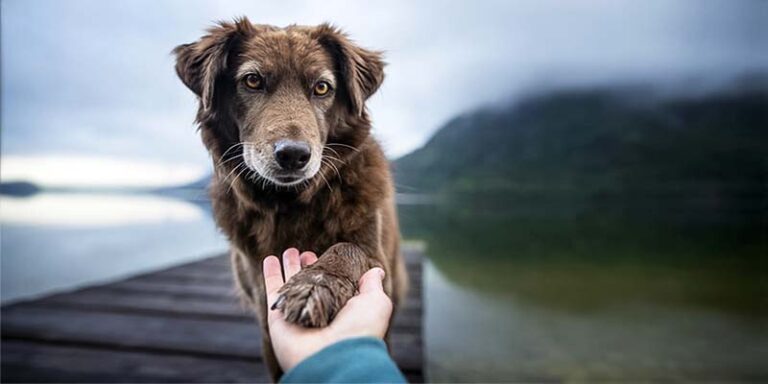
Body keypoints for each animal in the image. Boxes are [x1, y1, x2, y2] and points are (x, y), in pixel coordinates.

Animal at [171, 17, 404, 378]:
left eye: (322, 87)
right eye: (252, 80)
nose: (293, 155)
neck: (290, 204)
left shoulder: (376, 260)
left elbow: (347, 249)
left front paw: (315, 285)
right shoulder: (264, 317)